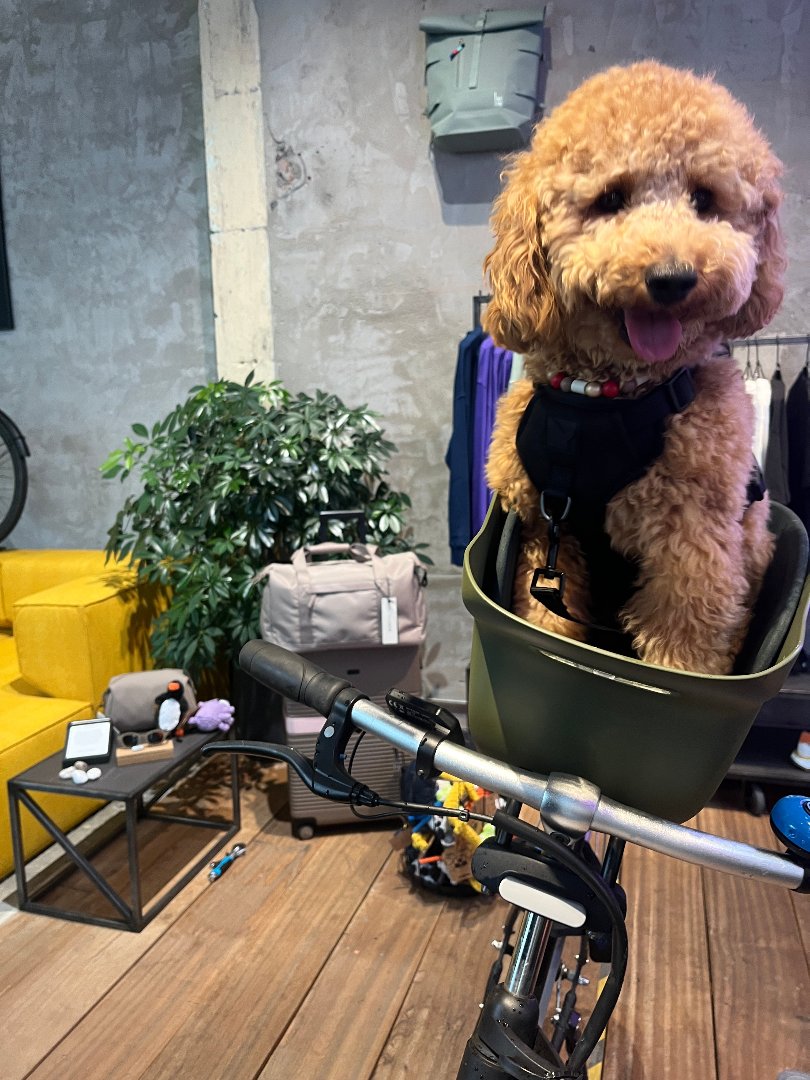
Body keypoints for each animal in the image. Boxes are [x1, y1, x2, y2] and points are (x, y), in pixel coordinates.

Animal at [486, 61, 781, 673]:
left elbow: (683, 643)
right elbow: (546, 617)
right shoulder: (546, 532)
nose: (673, 278)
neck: (603, 397)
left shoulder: (691, 546)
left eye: (704, 198)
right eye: (610, 198)